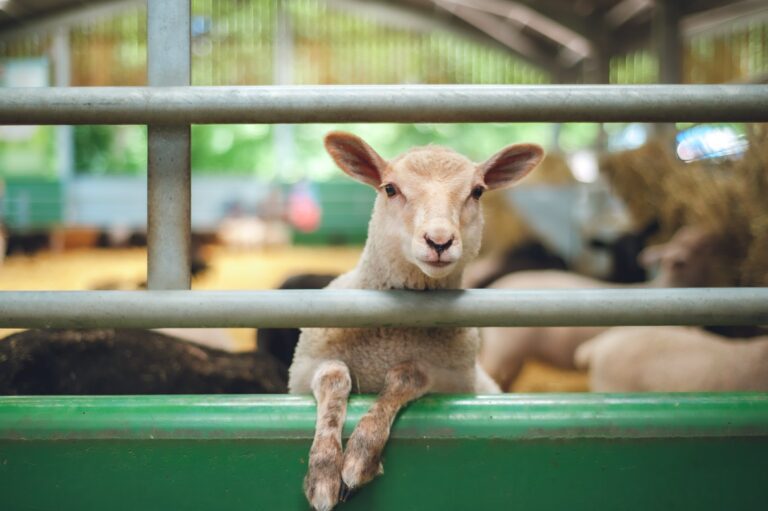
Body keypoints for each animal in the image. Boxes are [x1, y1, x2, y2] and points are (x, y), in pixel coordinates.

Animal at [289, 131, 543, 511]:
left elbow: (406, 376)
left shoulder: (450, 379)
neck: (392, 337)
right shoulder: (304, 370)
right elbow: (335, 378)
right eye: (390, 188)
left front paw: (359, 458)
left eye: (477, 191)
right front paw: (324, 471)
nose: (439, 241)